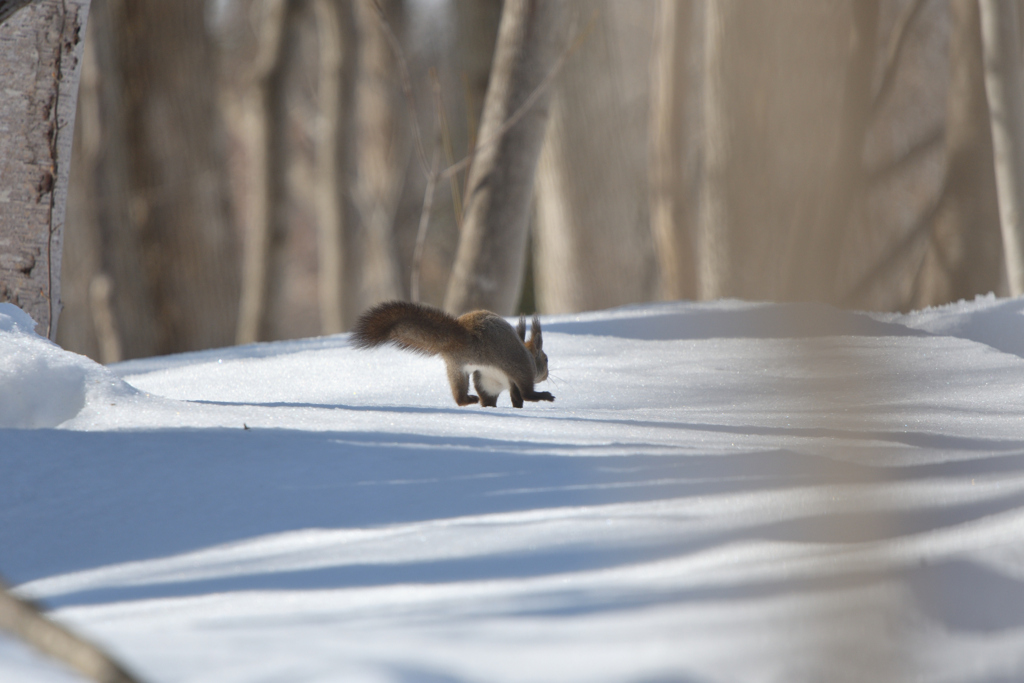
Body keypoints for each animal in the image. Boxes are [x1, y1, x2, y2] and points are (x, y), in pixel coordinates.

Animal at [348, 301, 552, 409]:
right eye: (546, 359)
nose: (546, 375)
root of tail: (467, 334)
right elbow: (519, 395)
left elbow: (514, 396)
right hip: (516, 362)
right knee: (526, 392)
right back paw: (543, 396)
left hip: (460, 369)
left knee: (463, 396)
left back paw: (472, 401)